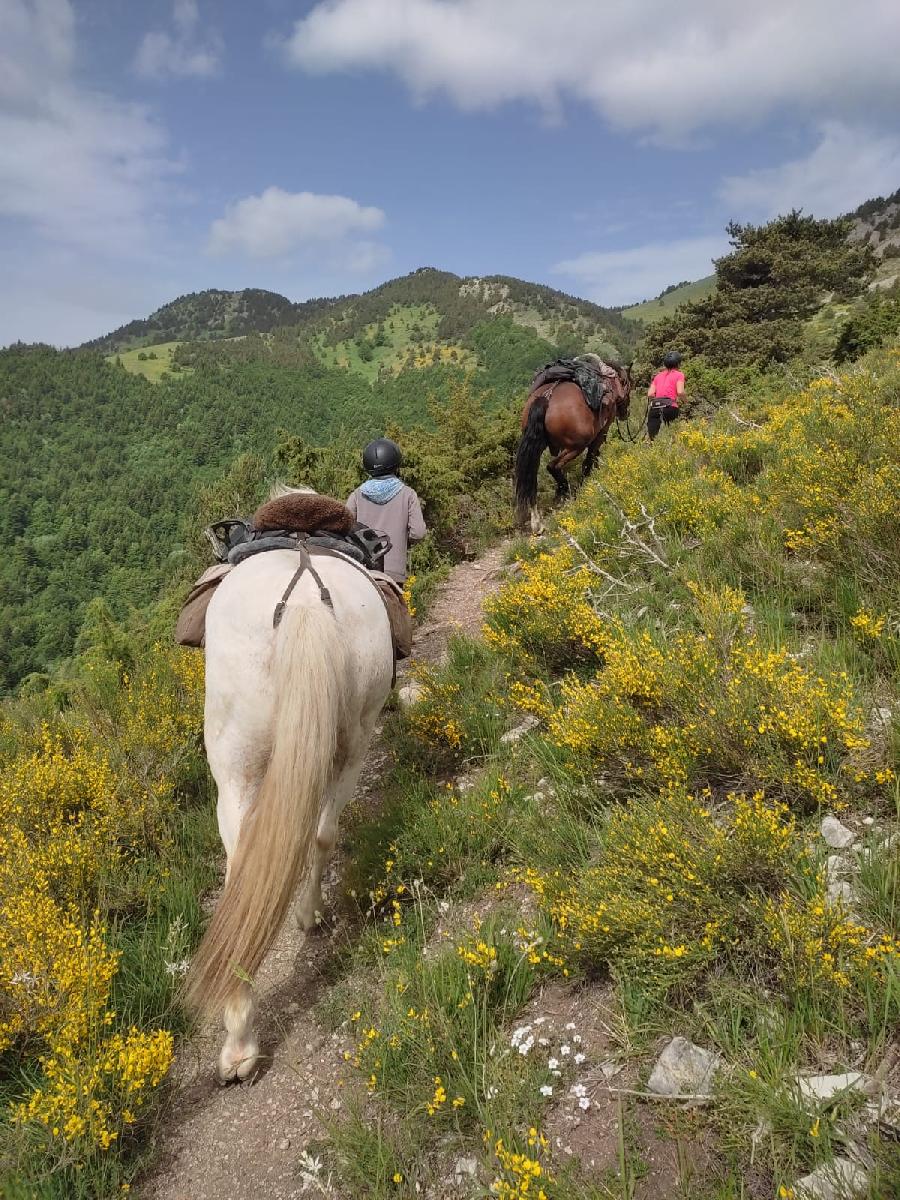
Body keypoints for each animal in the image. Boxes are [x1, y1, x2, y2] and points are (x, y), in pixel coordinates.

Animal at [513, 357, 633, 532]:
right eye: (630, 386)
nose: (625, 413)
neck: (610, 380)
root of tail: (547, 396)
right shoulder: (602, 431)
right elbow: (590, 457)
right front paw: (589, 481)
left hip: (537, 446)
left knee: (532, 478)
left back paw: (537, 519)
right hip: (576, 447)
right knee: (553, 466)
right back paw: (565, 493)